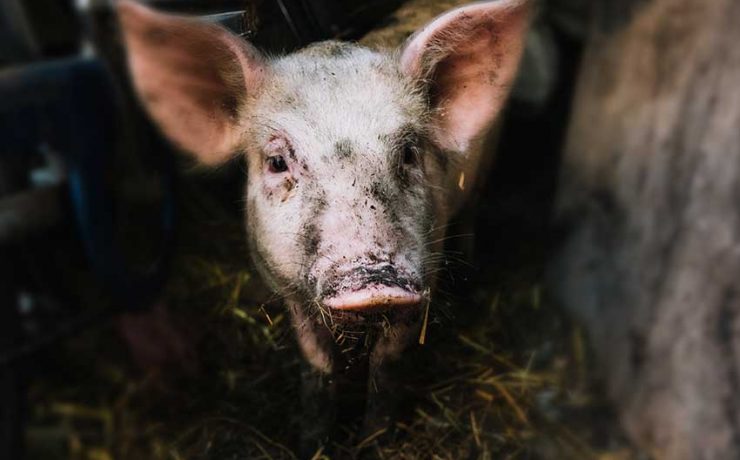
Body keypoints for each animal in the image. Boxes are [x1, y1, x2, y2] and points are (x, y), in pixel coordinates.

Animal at [117, 0, 530, 449]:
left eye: (408, 152)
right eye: (277, 161)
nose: (373, 278)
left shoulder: (426, 271)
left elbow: (388, 363)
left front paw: (375, 441)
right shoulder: (289, 291)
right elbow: (317, 364)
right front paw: (311, 441)